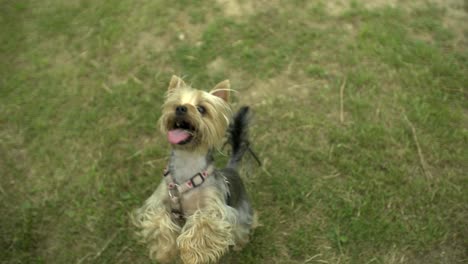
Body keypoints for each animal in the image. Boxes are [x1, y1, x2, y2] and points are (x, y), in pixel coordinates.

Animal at [133, 75, 258, 262]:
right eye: (175, 104)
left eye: (201, 109)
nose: (180, 108)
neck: (187, 160)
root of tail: (232, 170)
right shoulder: (158, 202)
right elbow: (159, 221)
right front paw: (165, 252)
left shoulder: (216, 210)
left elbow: (203, 223)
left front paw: (192, 256)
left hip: (242, 214)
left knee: (242, 229)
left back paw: (239, 245)